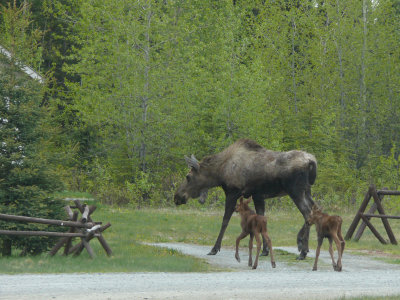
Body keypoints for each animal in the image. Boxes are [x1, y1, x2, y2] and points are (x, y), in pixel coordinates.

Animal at [173, 138, 318, 258]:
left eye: (188, 177)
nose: (177, 197)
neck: (220, 173)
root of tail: (311, 161)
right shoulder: (258, 195)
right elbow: (261, 219)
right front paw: (264, 250)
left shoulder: (233, 192)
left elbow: (225, 220)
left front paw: (214, 248)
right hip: (307, 191)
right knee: (315, 209)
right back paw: (304, 246)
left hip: (295, 191)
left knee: (307, 214)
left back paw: (302, 250)